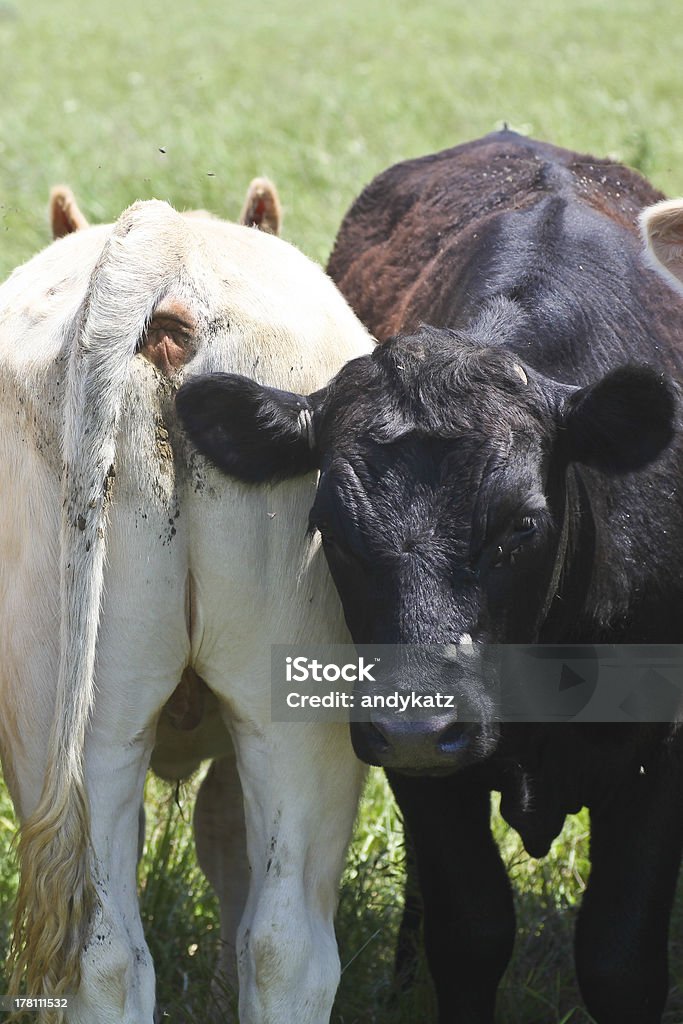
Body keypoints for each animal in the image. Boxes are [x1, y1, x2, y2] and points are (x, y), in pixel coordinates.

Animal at [179, 130, 683, 1024]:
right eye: (331, 528)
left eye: (521, 525)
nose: (419, 725)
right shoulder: (418, 772)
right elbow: (469, 929)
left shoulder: (657, 753)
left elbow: (619, 958)